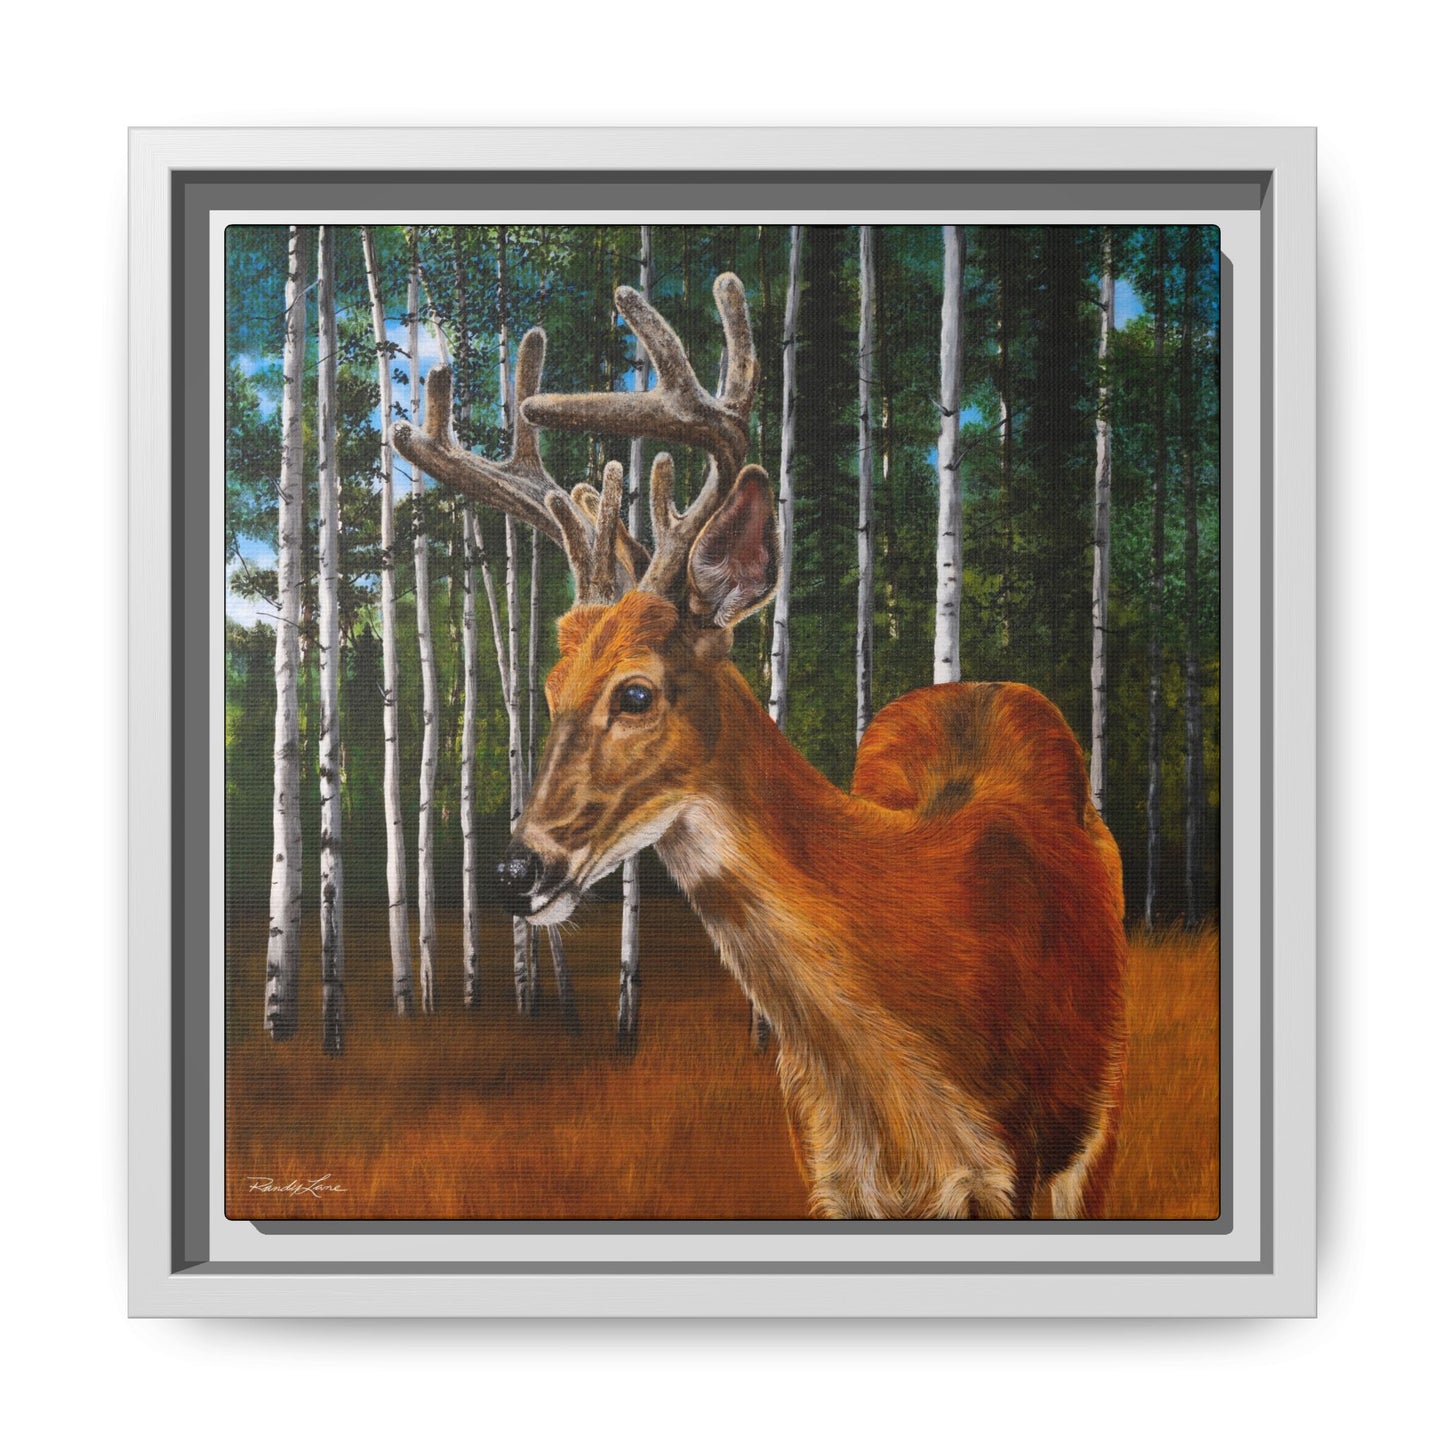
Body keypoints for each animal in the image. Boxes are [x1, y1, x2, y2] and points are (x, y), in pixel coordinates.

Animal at [391, 272, 1127, 1220]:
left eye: (635, 692)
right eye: (550, 690)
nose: (516, 870)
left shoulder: (1017, 1169)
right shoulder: (823, 1167)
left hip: (1096, 1128)